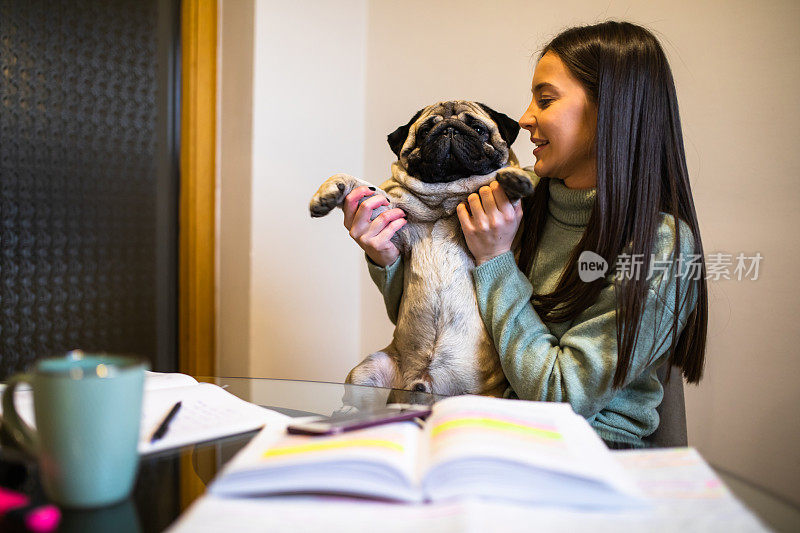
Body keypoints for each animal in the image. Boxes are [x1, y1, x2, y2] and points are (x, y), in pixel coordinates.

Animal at [310, 102, 536, 396]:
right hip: (369, 369)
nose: (449, 129)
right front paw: (328, 192)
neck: (445, 197)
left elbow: (503, 180)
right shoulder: (393, 217)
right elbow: (357, 183)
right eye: (426, 130)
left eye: (478, 129)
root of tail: (423, 385)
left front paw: (513, 179)